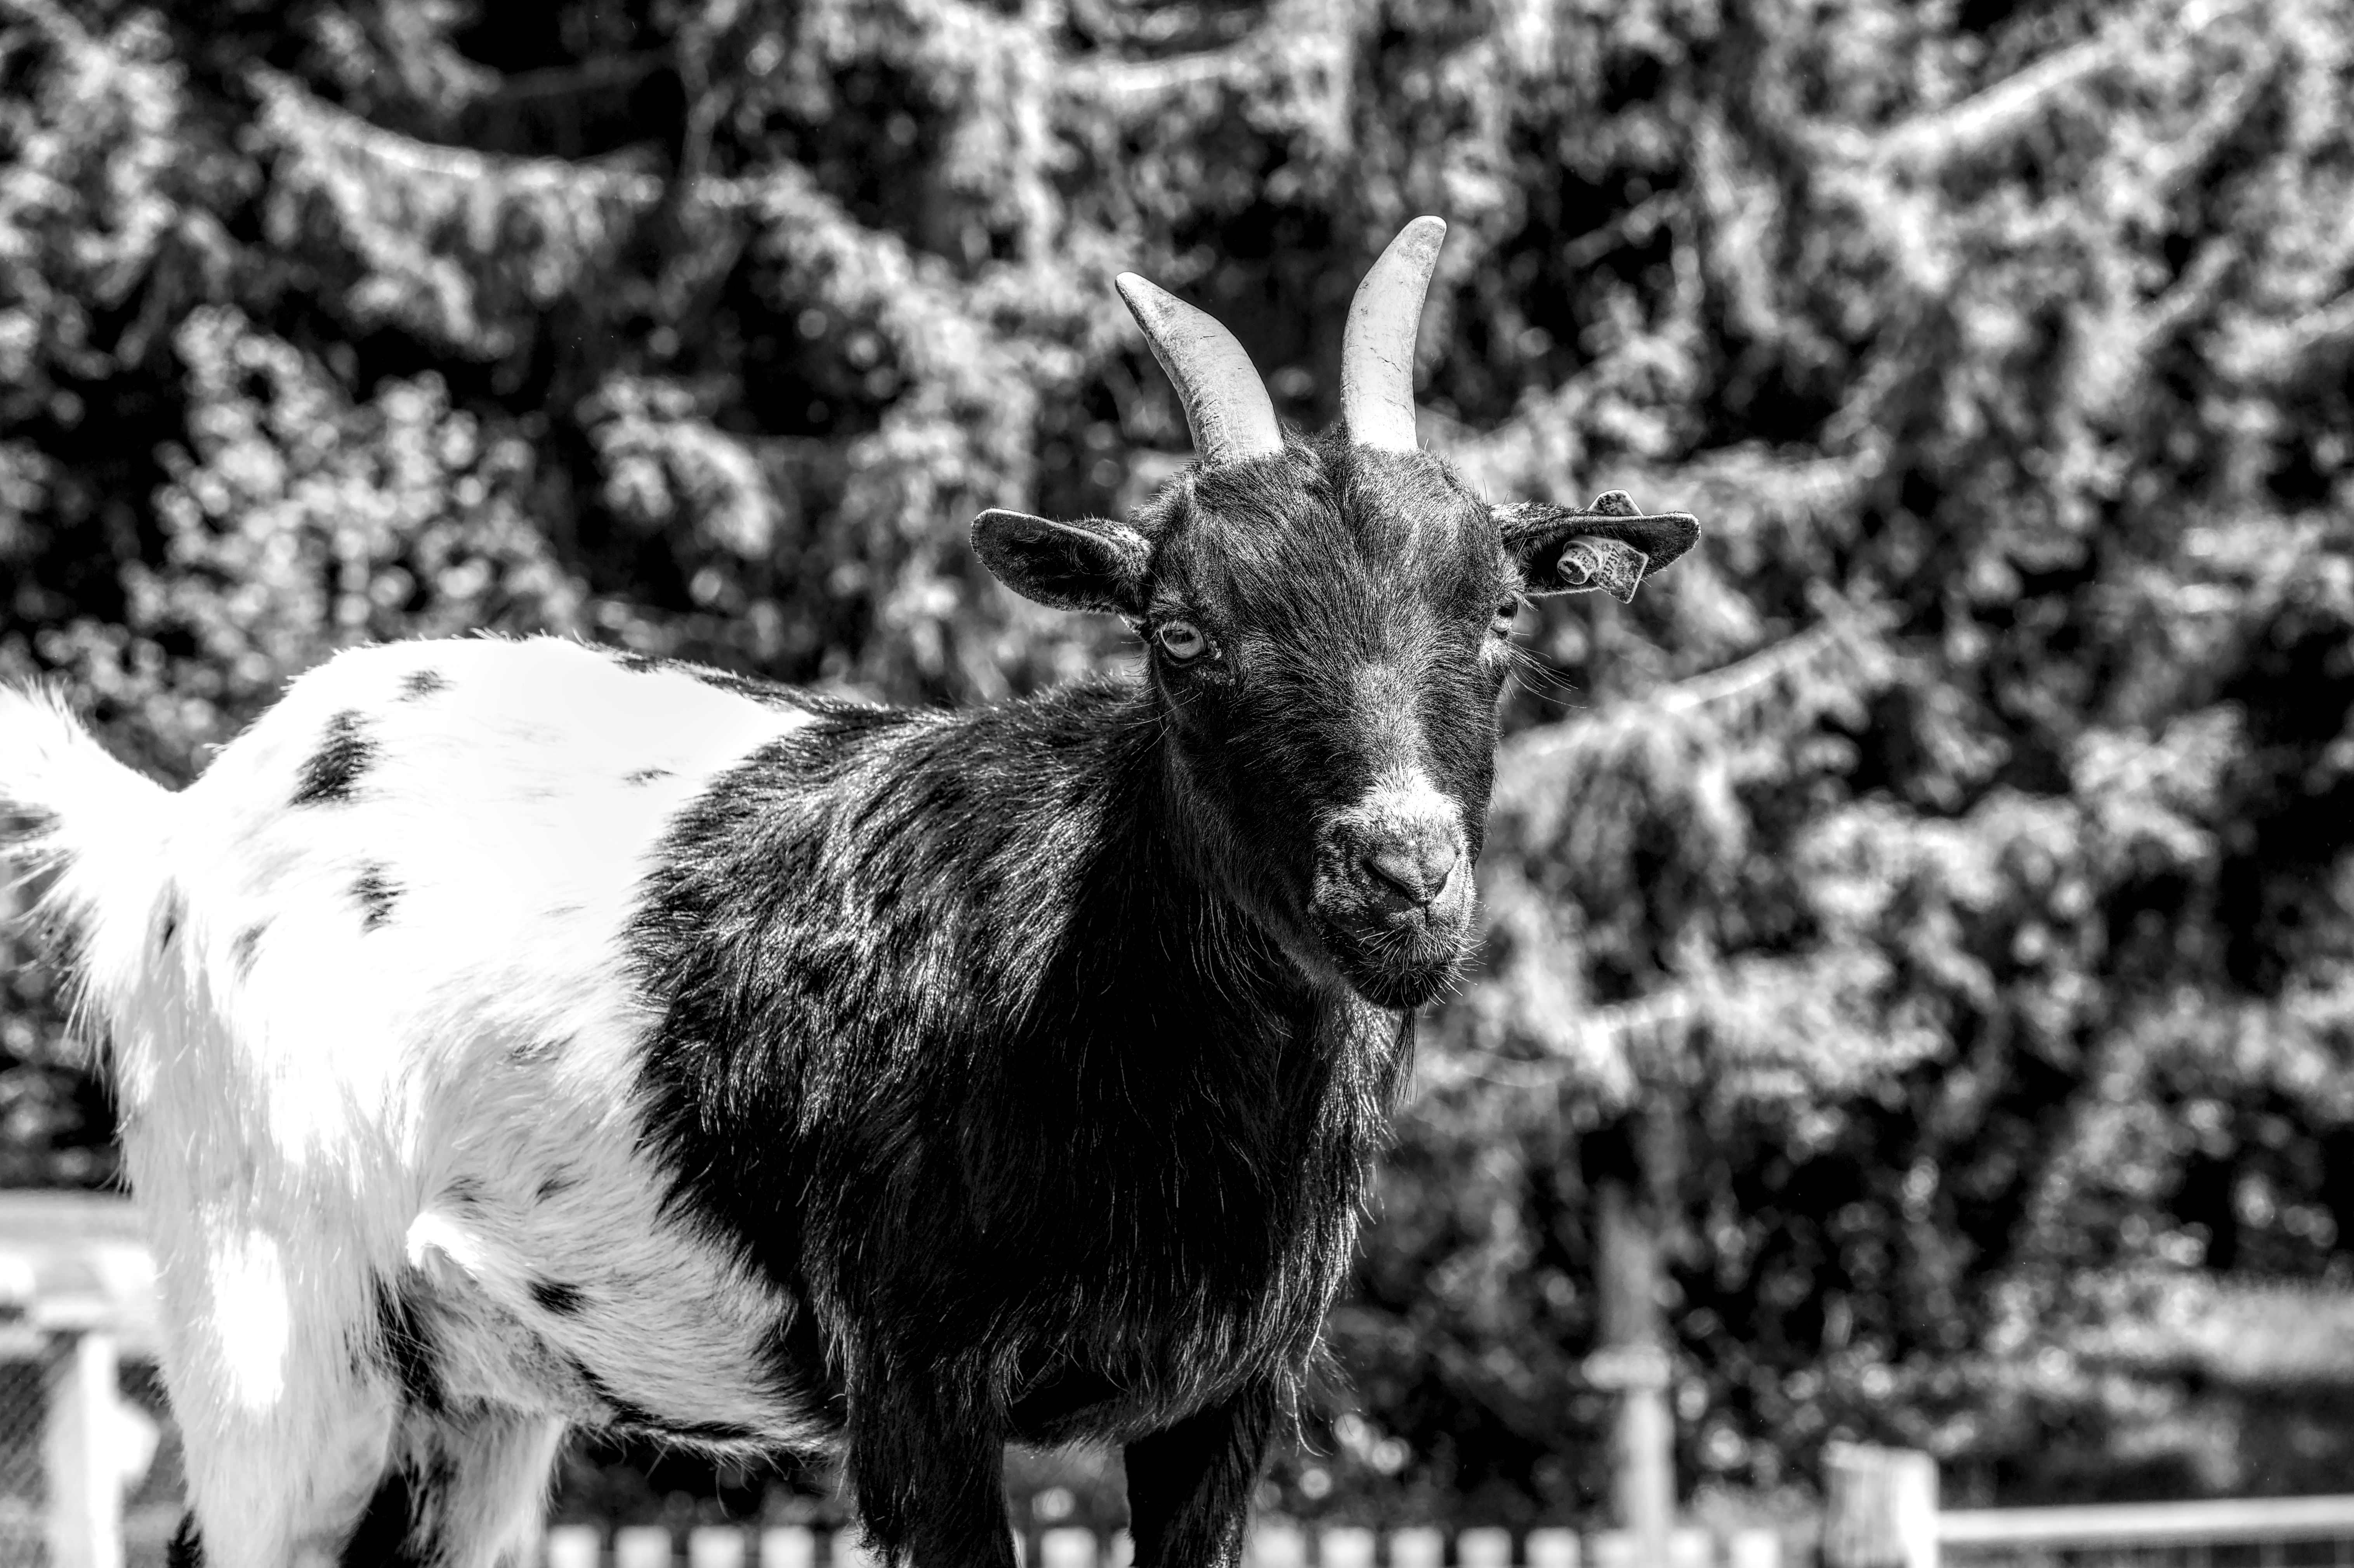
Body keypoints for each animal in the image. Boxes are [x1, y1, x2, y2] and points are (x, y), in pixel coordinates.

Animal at [0, 218, 1698, 1568]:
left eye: (1498, 612)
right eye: (1179, 633)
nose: (1398, 877)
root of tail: (172, 830)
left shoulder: (1225, 1402)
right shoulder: (917, 1383)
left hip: (465, 1401)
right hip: (273, 1324)